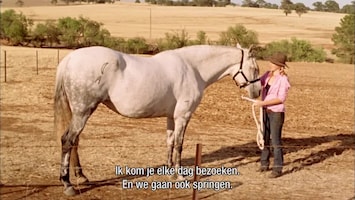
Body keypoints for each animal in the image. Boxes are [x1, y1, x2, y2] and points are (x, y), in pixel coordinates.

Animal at [55, 44, 262, 195]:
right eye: (255, 68)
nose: (258, 92)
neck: (193, 68)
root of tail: (69, 60)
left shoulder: (171, 117)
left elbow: (169, 142)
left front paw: (169, 172)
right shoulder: (183, 116)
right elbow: (179, 144)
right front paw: (180, 176)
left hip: (78, 112)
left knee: (74, 141)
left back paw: (80, 176)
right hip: (83, 111)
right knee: (68, 140)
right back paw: (68, 184)